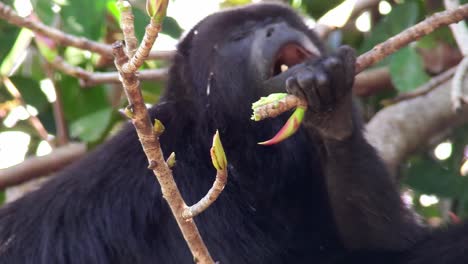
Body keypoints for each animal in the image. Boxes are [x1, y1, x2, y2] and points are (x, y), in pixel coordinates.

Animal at [0, 2, 468, 264]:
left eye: (276, 19)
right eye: (240, 37)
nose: (276, 29)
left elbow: (386, 242)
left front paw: (330, 107)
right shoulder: (183, 185)